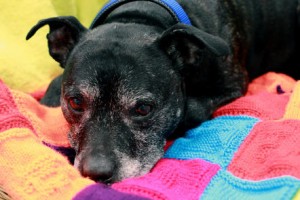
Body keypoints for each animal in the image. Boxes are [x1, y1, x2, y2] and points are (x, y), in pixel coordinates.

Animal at [26, 0, 300, 183]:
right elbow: (52, 87)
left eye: (143, 109)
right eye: (75, 102)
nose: (96, 173)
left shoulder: (232, 85)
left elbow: (190, 110)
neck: (139, 16)